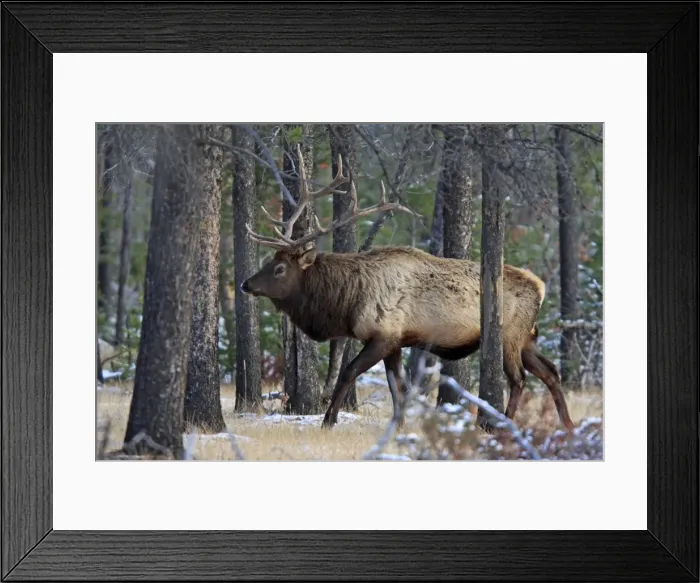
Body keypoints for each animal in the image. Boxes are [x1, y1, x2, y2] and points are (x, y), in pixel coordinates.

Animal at [240, 146, 575, 433]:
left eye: (279, 268)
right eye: (271, 261)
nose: (246, 283)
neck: (347, 302)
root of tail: (541, 286)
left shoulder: (383, 334)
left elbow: (349, 372)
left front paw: (328, 421)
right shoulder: (396, 342)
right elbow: (397, 388)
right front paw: (398, 426)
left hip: (509, 335)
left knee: (518, 378)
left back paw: (503, 425)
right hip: (527, 338)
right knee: (550, 372)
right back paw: (568, 424)